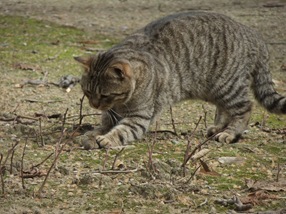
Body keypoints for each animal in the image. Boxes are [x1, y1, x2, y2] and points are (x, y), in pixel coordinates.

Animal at [75, 11, 284, 149]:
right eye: (88, 92)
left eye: (104, 95)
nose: (94, 105)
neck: (121, 103)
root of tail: (252, 33)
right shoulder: (112, 113)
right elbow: (104, 125)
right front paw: (93, 134)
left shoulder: (139, 117)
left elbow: (122, 131)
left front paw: (108, 139)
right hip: (216, 90)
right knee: (224, 108)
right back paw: (217, 127)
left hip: (228, 86)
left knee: (245, 108)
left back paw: (230, 132)